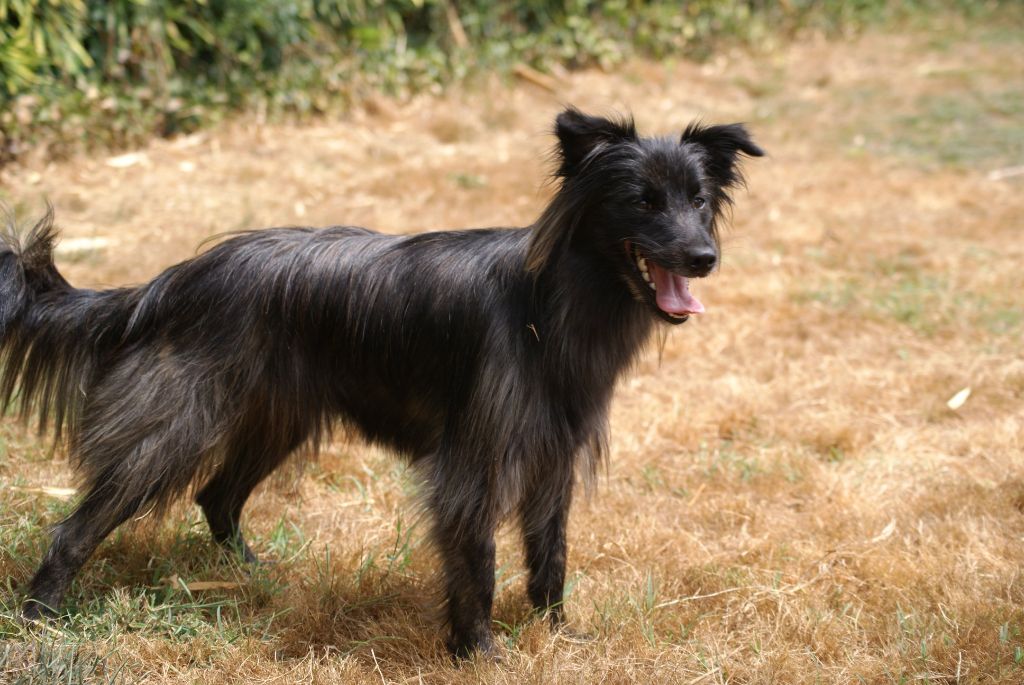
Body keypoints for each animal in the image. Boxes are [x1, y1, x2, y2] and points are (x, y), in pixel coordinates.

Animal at [0, 108, 761, 655]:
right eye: (642, 200)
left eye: (699, 200)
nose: (706, 257)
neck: (549, 304)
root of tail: (168, 283)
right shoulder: (473, 466)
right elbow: (480, 562)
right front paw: (478, 652)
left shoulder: (552, 459)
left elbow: (551, 556)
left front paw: (558, 635)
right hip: (171, 431)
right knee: (76, 529)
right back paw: (39, 618)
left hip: (272, 422)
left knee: (216, 498)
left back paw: (254, 576)